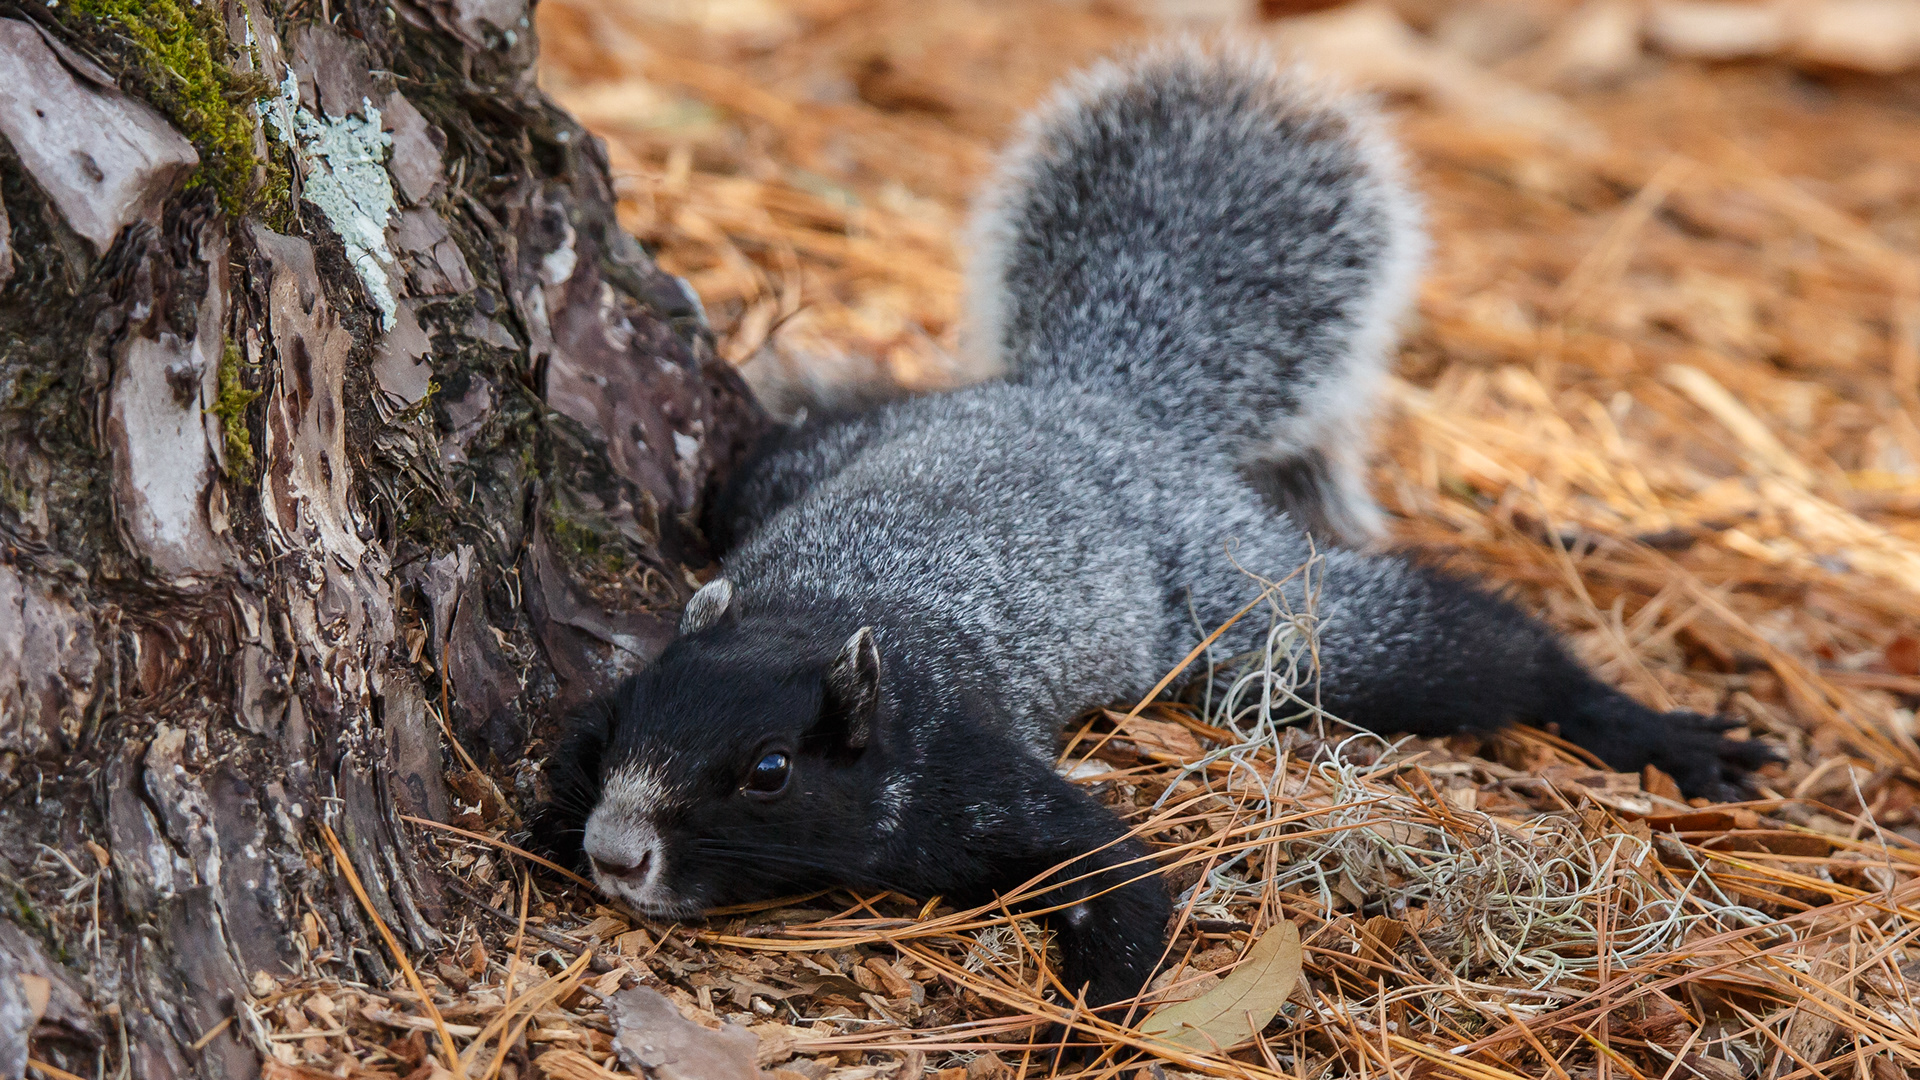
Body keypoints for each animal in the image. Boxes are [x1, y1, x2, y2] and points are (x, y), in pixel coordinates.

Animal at [534, 43, 1776, 1014]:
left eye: (770, 772)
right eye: (626, 713)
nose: (615, 853)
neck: (818, 613)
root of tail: (1098, 402)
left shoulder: (966, 767)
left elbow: (1122, 878)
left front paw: (1092, 1027)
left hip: (1249, 605)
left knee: (1471, 649)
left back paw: (1645, 724)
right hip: (784, 473)